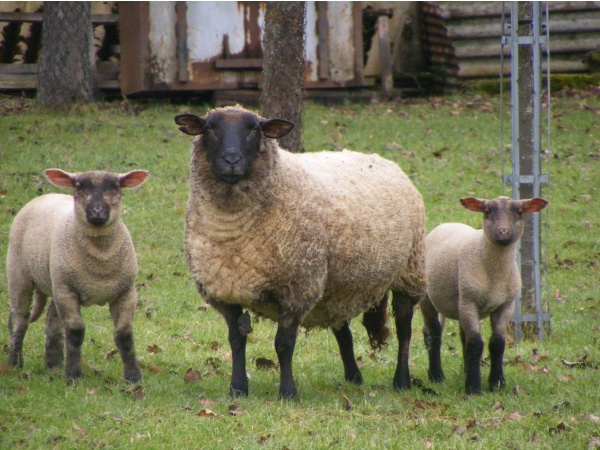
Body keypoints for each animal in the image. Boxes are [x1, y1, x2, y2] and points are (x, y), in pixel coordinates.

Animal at [7, 169, 149, 384]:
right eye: (80, 186)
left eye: (115, 186)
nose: (98, 210)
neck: (101, 260)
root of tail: (45, 195)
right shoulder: (67, 290)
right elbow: (75, 331)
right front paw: (73, 376)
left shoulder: (126, 292)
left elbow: (124, 335)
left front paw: (133, 378)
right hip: (19, 273)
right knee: (19, 319)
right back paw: (15, 363)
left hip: (56, 280)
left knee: (53, 320)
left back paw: (54, 364)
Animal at [173, 106, 426, 400]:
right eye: (209, 128)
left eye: (255, 129)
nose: (232, 160)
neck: (233, 229)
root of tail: (380, 158)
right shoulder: (224, 290)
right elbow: (236, 340)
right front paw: (237, 389)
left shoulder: (296, 288)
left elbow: (283, 344)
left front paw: (288, 393)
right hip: (336, 284)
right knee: (343, 331)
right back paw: (354, 377)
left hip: (409, 270)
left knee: (405, 329)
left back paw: (401, 381)